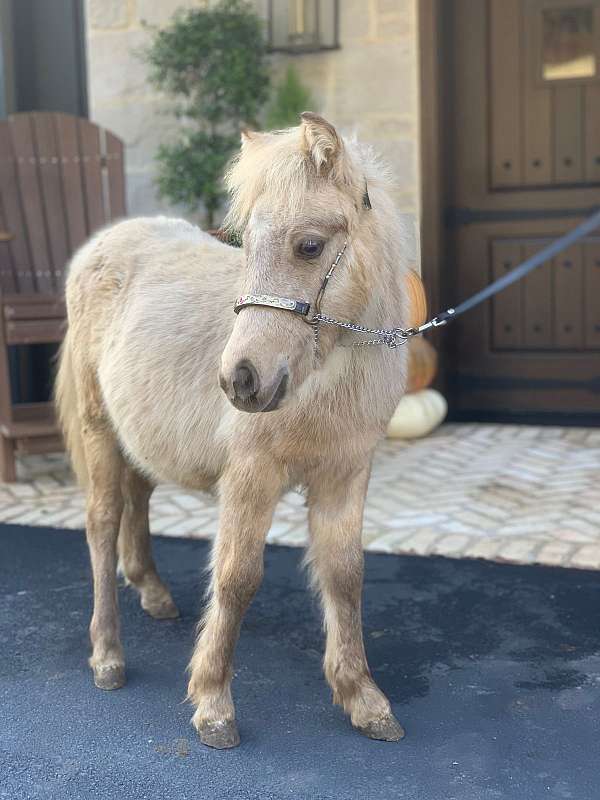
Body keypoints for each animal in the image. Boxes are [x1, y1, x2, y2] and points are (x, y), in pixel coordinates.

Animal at [55, 113, 411, 749]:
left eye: (309, 245)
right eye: (246, 241)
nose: (241, 379)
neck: (325, 374)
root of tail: (99, 245)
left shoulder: (345, 473)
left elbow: (345, 574)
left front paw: (363, 699)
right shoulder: (252, 474)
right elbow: (238, 577)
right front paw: (213, 703)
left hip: (136, 435)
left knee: (137, 498)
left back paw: (153, 593)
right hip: (99, 430)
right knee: (102, 523)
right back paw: (107, 655)